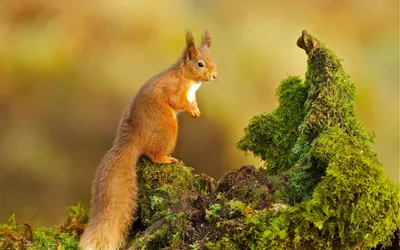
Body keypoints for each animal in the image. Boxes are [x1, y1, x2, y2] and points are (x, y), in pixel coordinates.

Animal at [79, 30, 217, 249]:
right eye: (200, 64)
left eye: (213, 60)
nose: (214, 76)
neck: (187, 78)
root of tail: (132, 141)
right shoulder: (175, 89)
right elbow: (178, 101)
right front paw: (192, 109)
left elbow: (193, 101)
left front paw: (196, 109)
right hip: (168, 129)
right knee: (153, 155)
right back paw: (167, 159)